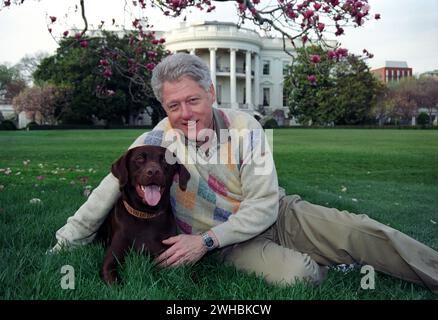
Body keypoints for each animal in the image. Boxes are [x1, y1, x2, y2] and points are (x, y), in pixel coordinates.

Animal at [96, 145, 189, 284]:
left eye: (165, 161)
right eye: (139, 159)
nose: (154, 172)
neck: (146, 215)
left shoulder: (165, 256)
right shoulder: (111, 259)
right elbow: (115, 281)